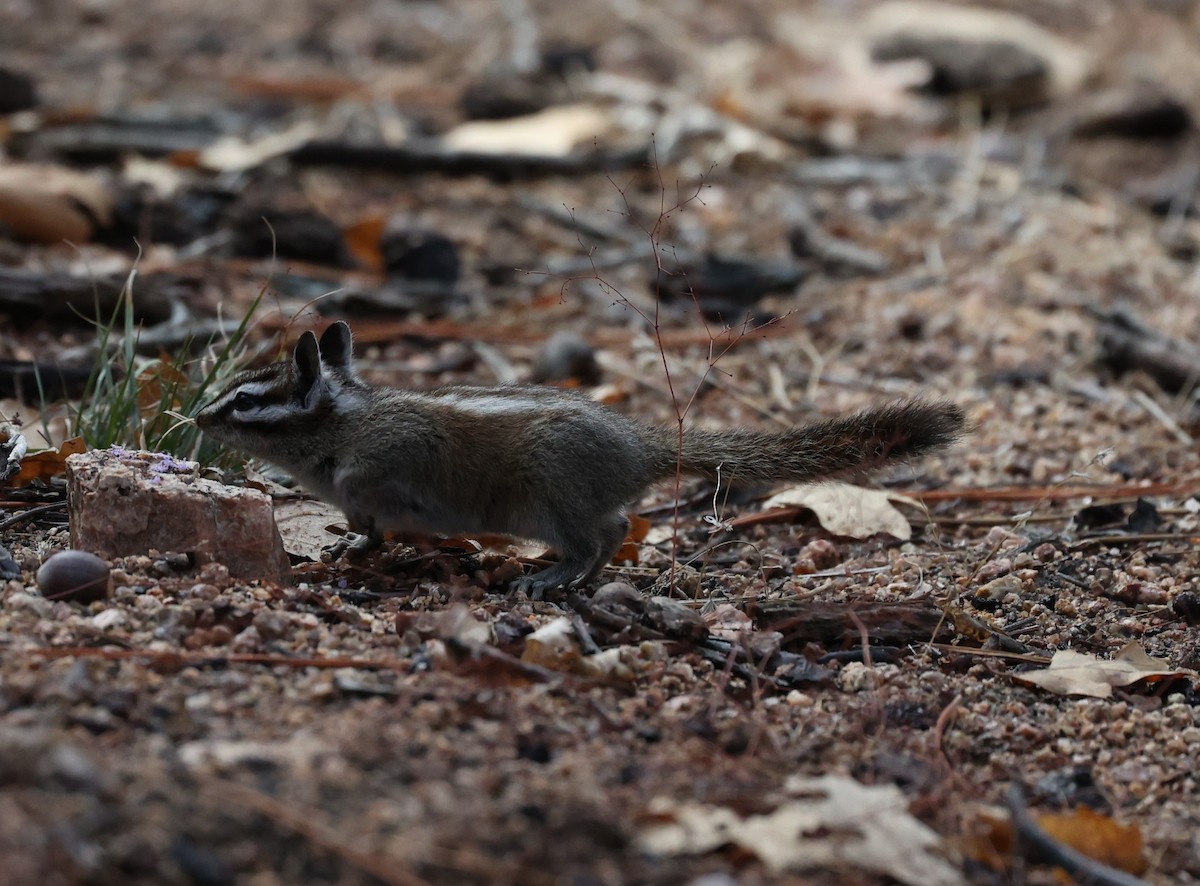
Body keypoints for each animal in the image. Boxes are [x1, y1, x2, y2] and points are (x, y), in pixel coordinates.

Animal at [197, 321, 964, 594]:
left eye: (245, 400)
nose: (198, 416)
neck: (342, 424)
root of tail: (639, 444)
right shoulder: (363, 504)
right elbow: (367, 530)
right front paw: (347, 544)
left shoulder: (387, 454)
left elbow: (372, 497)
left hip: (548, 498)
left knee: (606, 533)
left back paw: (558, 576)